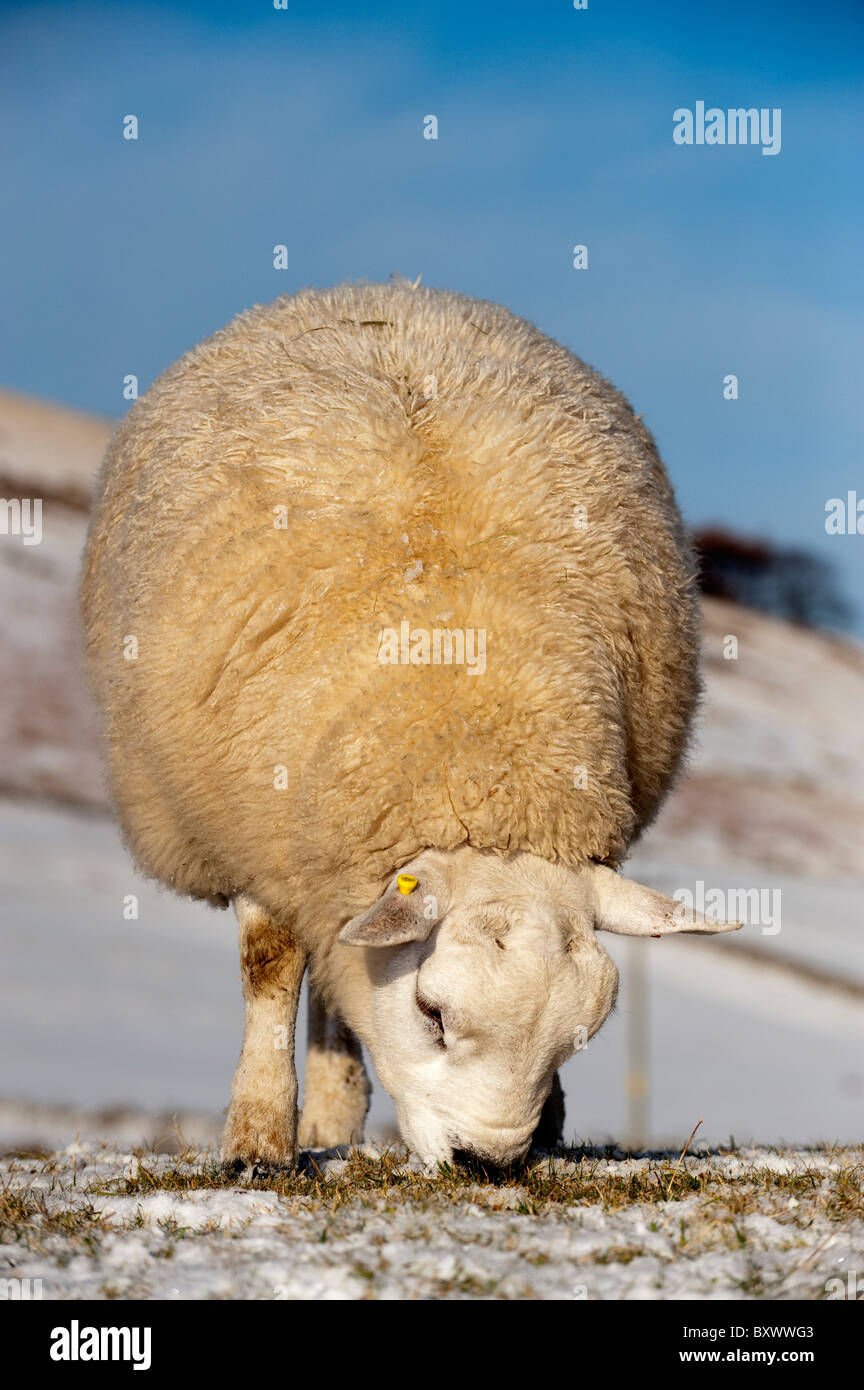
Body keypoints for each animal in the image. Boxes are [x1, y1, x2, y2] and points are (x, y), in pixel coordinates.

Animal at [79, 282, 738, 1173]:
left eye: (577, 1039)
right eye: (431, 1013)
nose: (485, 1161)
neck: (475, 746)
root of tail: (385, 289)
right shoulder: (257, 822)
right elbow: (271, 968)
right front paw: (258, 1137)